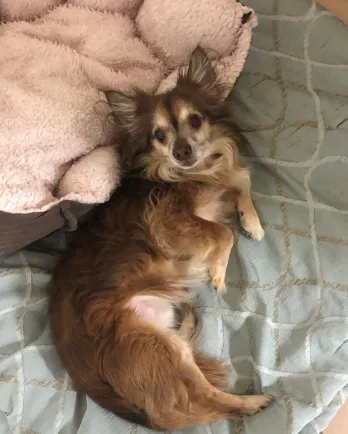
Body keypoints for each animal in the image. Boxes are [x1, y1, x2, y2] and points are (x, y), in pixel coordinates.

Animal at [49, 47, 272, 430]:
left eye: (195, 120)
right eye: (159, 135)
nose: (182, 152)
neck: (194, 172)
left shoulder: (218, 183)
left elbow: (241, 179)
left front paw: (252, 221)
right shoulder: (167, 221)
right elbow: (223, 231)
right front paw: (217, 271)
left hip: (168, 341)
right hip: (159, 348)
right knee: (201, 401)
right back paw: (251, 403)